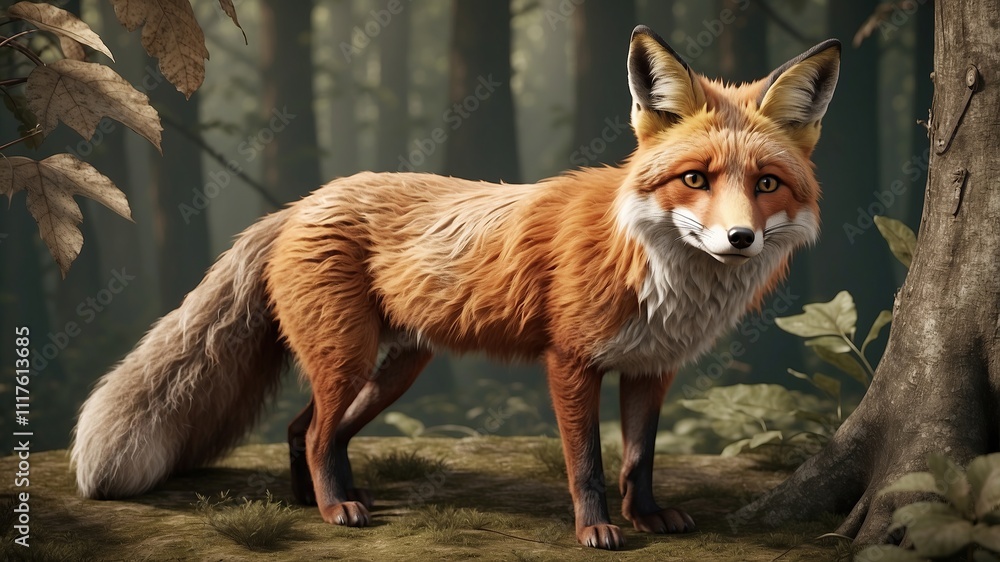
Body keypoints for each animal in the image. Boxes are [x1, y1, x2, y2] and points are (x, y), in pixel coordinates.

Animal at [71, 26, 840, 549]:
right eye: (695, 178)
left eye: (766, 184)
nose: (738, 239)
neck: (652, 268)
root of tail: (300, 203)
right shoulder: (572, 363)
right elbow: (589, 463)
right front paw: (596, 531)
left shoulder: (651, 368)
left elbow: (640, 460)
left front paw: (647, 516)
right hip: (349, 358)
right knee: (315, 431)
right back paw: (334, 509)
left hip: (396, 367)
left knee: (304, 429)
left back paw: (313, 502)